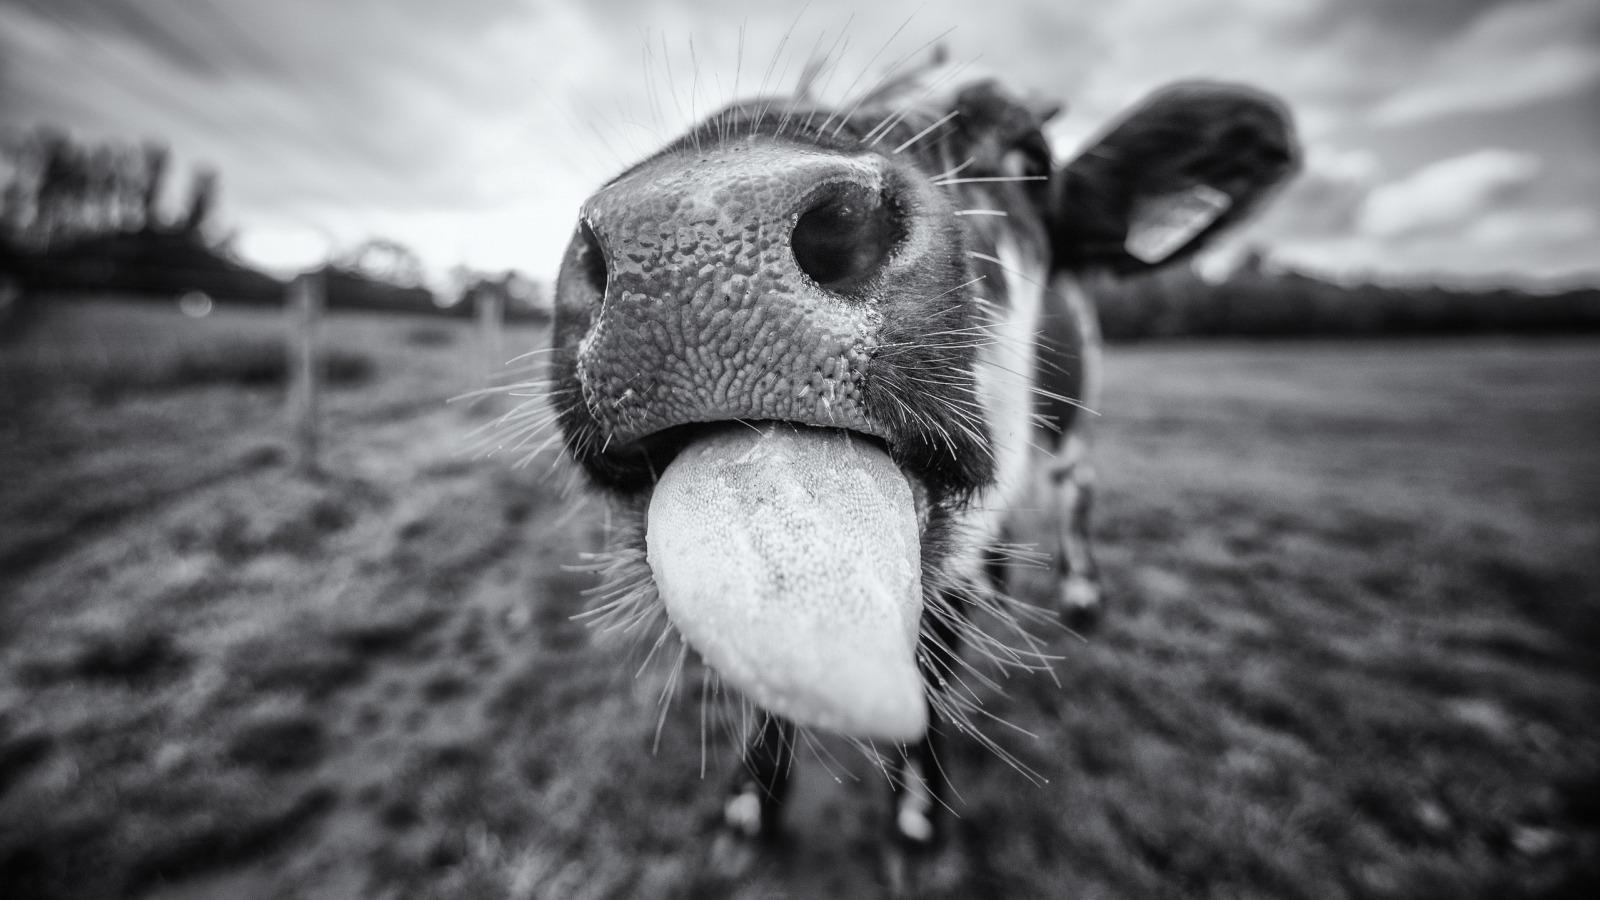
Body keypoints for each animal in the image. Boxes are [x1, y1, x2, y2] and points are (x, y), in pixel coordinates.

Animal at [532, 48, 1298, 888]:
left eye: (1029, 156)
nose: (695, 227)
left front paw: (916, 822)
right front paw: (750, 809)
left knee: (1074, 488)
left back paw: (1080, 592)